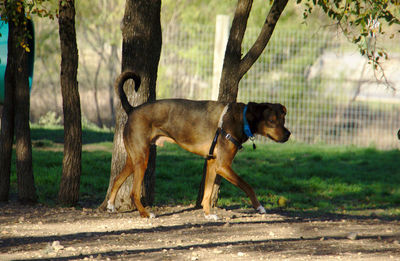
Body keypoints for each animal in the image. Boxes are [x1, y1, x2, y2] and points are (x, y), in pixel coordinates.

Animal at [107, 70, 290, 218]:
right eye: (272, 121)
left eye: (283, 119)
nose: (288, 134)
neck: (242, 118)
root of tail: (132, 109)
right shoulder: (223, 165)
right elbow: (247, 185)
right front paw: (259, 207)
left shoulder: (212, 163)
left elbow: (207, 194)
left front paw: (208, 215)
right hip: (141, 160)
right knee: (133, 192)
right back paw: (145, 213)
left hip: (134, 158)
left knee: (117, 179)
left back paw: (110, 205)